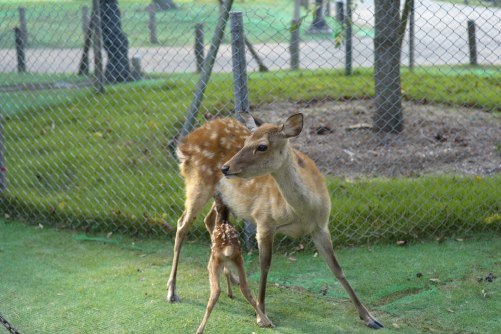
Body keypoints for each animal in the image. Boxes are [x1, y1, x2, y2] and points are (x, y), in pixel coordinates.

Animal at [168, 113, 382, 330]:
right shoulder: (264, 220)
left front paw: (369, 317)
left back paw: (232, 279)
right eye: (245, 141)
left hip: (221, 197)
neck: (302, 211)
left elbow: (337, 268)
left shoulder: (321, 226)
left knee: (209, 220)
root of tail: (184, 145)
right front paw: (261, 314)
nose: (225, 167)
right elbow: (265, 266)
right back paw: (172, 291)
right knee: (182, 224)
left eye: (262, 146)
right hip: (197, 183)